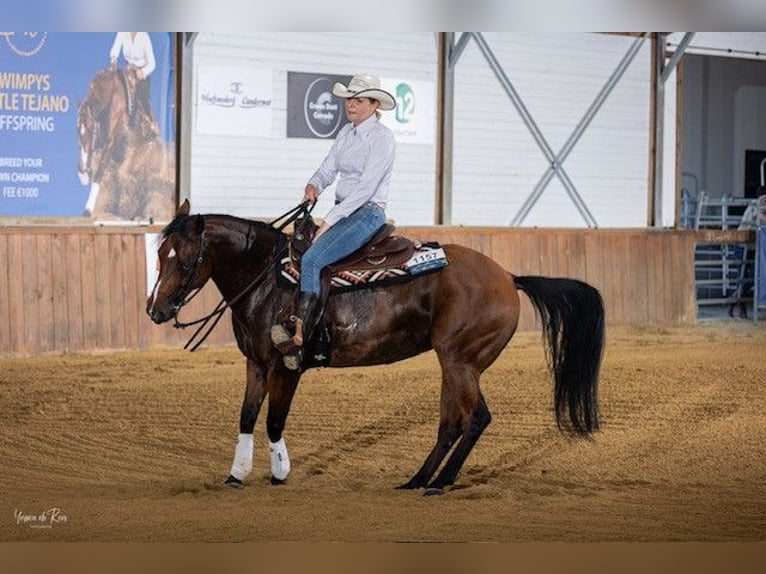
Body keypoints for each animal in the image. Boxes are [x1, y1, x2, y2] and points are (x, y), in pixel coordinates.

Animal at [147, 201, 608, 496]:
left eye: (184, 261)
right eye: (159, 254)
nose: (156, 310)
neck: (267, 280)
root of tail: (509, 277)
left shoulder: (287, 366)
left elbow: (274, 421)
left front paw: (280, 473)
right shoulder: (256, 365)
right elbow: (246, 417)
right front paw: (236, 475)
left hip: (462, 362)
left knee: (476, 419)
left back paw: (441, 484)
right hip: (453, 363)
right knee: (450, 424)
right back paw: (418, 480)